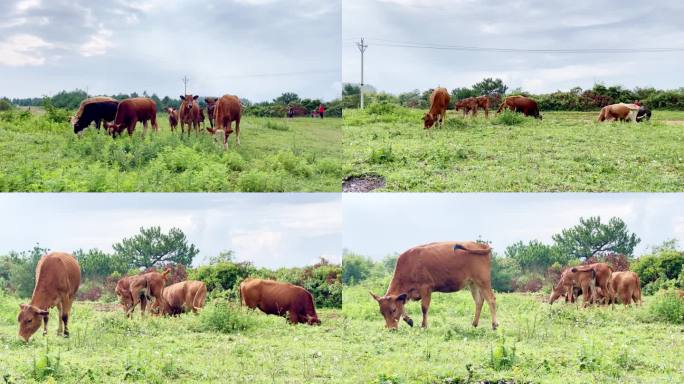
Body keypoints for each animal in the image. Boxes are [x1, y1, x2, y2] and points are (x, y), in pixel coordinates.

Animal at [368, 243, 496, 330]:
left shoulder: (426, 288)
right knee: (479, 301)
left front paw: (423, 326)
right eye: (381, 312)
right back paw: (474, 324)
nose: (391, 329)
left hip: (483, 281)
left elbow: (424, 308)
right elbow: (403, 306)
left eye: (393, 310)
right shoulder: (407, 294)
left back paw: (494, 325)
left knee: (491, 299)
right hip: (473, 283)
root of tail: (480, 245)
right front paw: (409, 320)